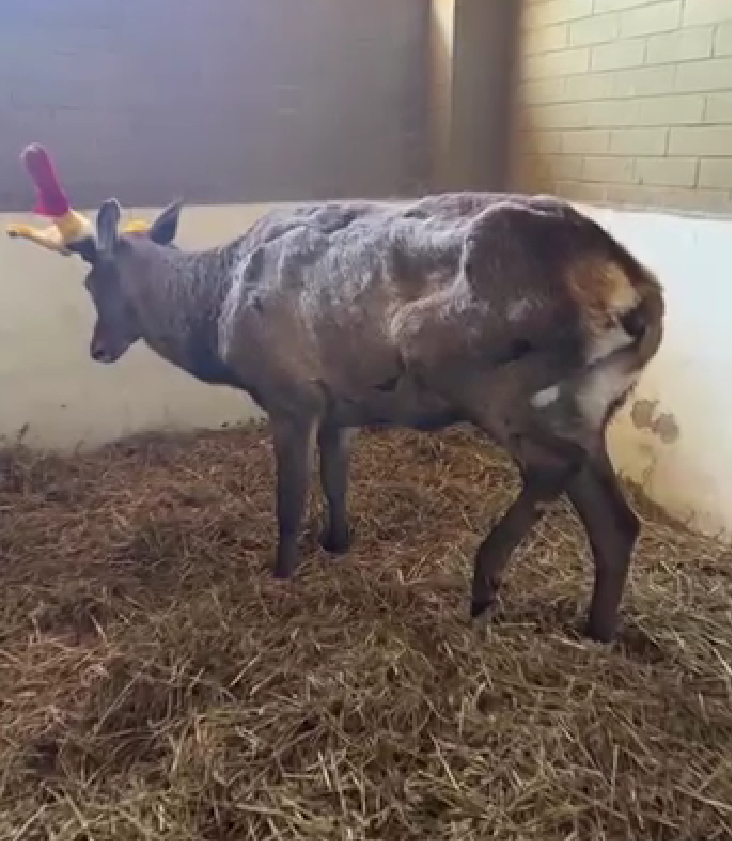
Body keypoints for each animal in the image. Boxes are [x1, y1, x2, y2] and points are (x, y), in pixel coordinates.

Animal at [15, 189, 664, 643]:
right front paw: (337, 543)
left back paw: (485, 581)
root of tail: (637, 292)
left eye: (92, 280)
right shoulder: (341, 405)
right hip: (588, 404)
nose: (99, 348)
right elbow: (335, 479)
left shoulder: (291, 396)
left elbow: (290, 498)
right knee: (615, 520)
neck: (217, 315)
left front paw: (282, 572)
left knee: (552, 467)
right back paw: (598, 632)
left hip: (485, 378)